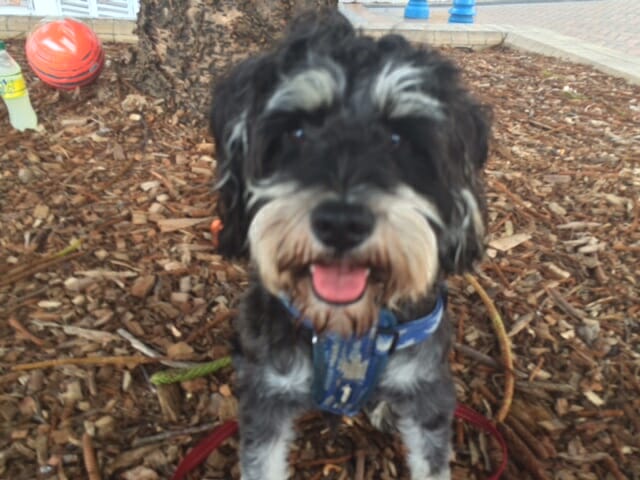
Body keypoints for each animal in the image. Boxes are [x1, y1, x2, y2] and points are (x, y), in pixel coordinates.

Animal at [210, 11, 490, 480]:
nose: (341, 224)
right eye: (297, 132)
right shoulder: (267, 399)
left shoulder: (427, 393)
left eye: (398, 139)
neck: (348, 331)